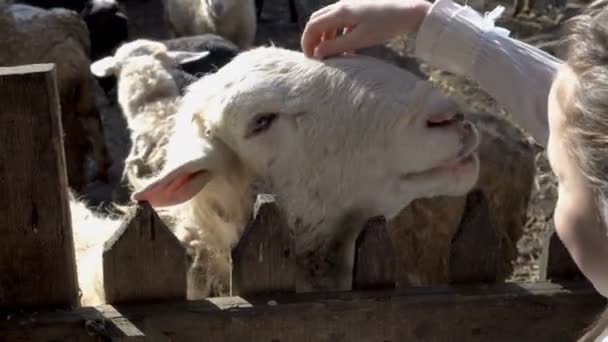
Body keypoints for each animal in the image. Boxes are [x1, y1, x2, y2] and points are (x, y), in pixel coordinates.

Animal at [0, 3, 111, 192]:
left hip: (62, 93)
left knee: (73, 141)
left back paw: (74, 182)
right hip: (83, 90)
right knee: (92, 122)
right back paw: (101, 171)